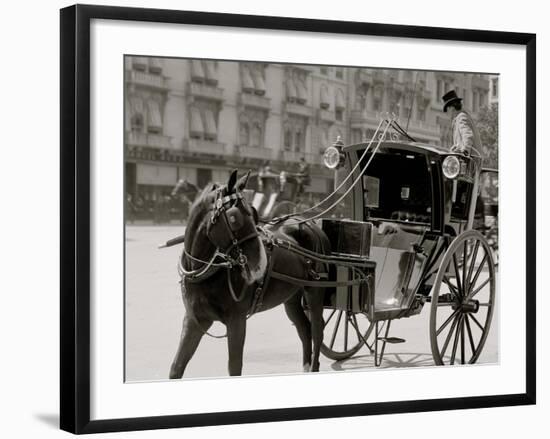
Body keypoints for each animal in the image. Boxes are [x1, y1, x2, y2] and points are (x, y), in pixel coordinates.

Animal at [169, 170, 332, 376]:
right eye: (234, 218)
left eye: (252, 214)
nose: (260, 263)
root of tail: (310, 224)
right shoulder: (194, 320)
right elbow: (176, 367)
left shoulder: (237, 320)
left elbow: (234, 366)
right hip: (291, 297)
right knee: (304, 330)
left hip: (315, 291)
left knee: (317, 331)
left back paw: (314, 366)